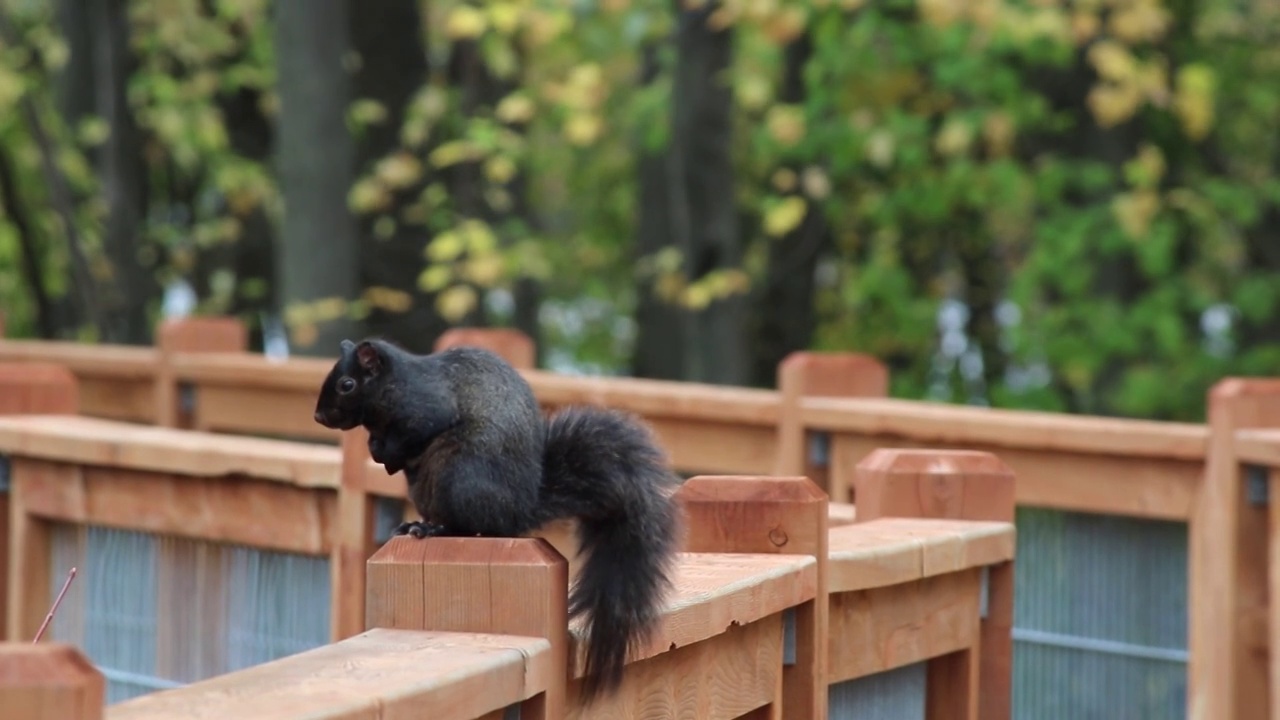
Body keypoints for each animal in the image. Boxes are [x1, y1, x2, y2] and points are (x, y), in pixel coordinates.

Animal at [313, 338, 686, 702]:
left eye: (347, 385)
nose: (318, 416)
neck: (393, 384)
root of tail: (520, 508)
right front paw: (379, 450)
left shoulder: (425, 404)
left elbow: (419, 428)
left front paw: (386, 452)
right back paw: (414, 524)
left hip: (460, 473)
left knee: (473, 525)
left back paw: (433, 527)